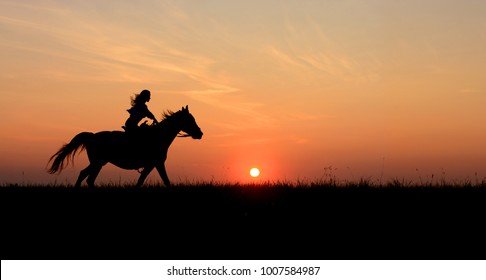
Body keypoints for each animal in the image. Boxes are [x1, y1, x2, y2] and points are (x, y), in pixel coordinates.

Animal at [46, 106, 202, 187]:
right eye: (190, 120)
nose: (200, 133)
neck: (159, 136)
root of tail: (92, 136)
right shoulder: (156, 163)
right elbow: (165, 181)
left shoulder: (151, 165)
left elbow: (141, 182)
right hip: (97, 162)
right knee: (84, 174)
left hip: (100, 163)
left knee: (89, 178)